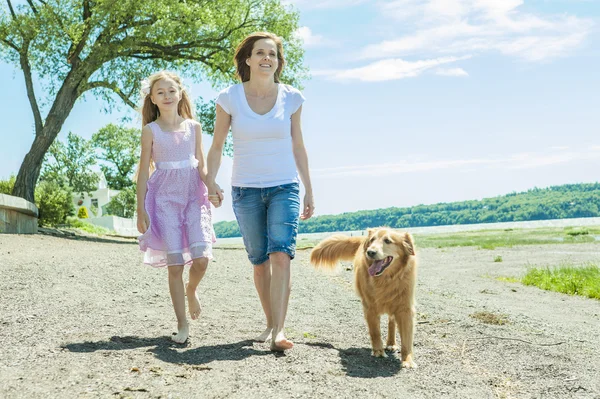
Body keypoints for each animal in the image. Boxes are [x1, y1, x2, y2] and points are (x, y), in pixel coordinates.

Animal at [310, 228, 418, 368]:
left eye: (388, 241)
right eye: (372, 240)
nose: (370, 252)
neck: (386, 280)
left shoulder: (405, 308)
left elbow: (406, 338)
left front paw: (407, 360)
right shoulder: (370, 307)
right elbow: (375, 332)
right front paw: (378, 351)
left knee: (391, 321)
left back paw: (391, 343)